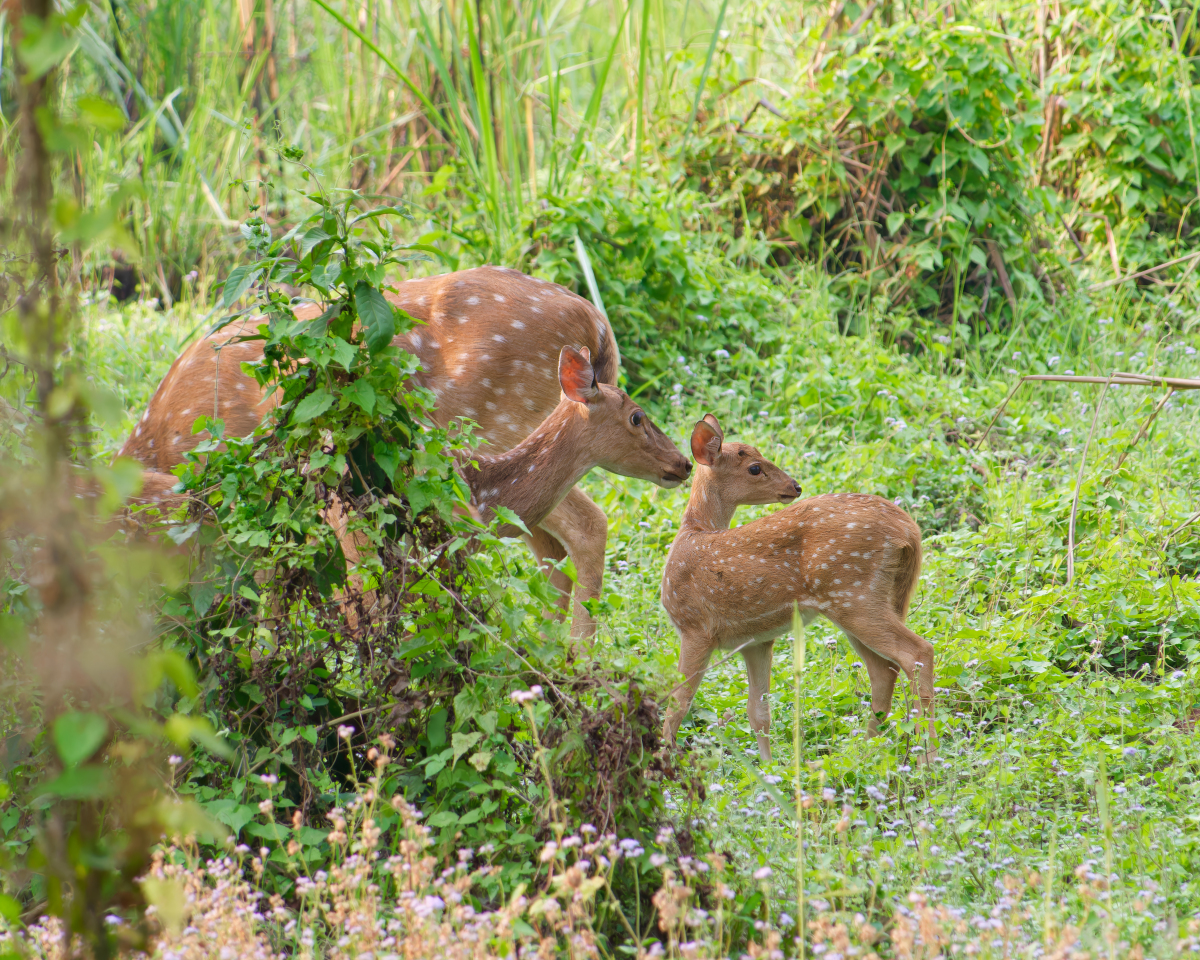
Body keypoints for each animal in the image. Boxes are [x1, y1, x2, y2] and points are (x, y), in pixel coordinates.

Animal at [662, 415, 931, 763]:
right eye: (754, 467)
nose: (795, 486)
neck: (694, 533)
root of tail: (910, 531)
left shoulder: (695, 627)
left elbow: (677, 703)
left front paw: (660, 759)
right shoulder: (755, 641)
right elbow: (757, 712)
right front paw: (769, 768)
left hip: (853, 594)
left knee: (917, 653)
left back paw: (926, 757)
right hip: (883, 598)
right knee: (885, 671)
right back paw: (863, 752)